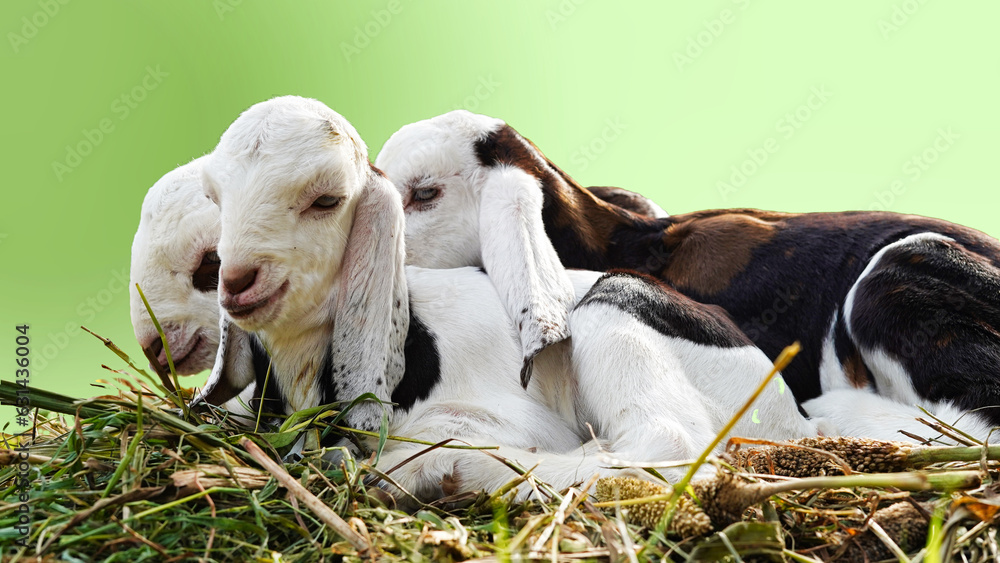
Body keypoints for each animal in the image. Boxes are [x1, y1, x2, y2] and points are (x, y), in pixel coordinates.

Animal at [192, 96, 823, 503]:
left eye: (327, 200)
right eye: (216, 198)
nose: (237, 280)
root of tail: (795, 426)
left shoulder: (510, 417)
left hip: (619, 308)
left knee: (667, 444)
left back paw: (451, 472)